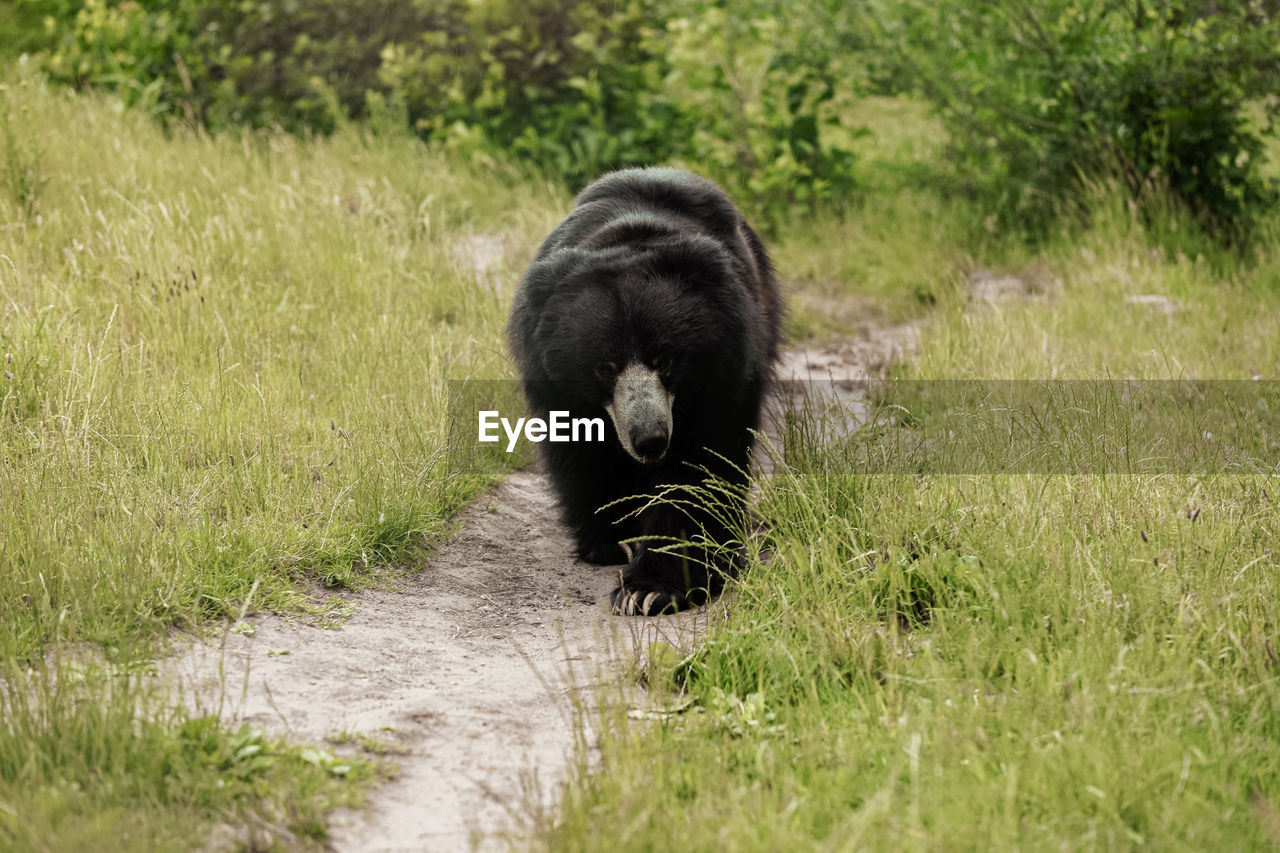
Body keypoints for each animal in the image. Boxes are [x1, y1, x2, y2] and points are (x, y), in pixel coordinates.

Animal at [506, 167, 778, 612]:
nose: (650, 439)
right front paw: (606, 543)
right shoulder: (554, 380)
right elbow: (583, 453)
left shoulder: (724, 369)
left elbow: (697, 466)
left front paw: (650, 591)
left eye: (665, 359)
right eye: (605, 367)